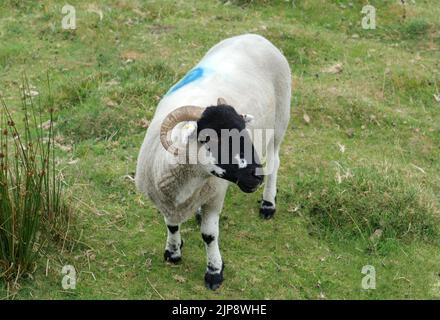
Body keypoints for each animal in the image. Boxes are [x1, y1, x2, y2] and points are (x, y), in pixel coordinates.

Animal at [136, 33, 290, 288]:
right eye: (209, 138)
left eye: (243, 131)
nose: (255, 176)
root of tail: (254, 35)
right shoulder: (164, 199)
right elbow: (171, 224)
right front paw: (173, 252)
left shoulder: (215, 195)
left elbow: (209, 235)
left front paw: (214, 271)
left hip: (280, 120)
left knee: (275, 162)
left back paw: (268, 204)